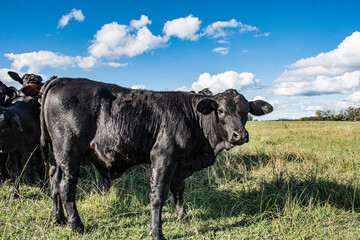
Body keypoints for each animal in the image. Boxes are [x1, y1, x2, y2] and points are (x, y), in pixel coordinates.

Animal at [40, 78, 272, 239]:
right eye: (221, 110)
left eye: (246, 111)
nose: (240, 135)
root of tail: (64, 79)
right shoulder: (163, 157)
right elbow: (158, 196)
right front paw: (157, 232)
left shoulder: (179, 162)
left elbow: (178, 189)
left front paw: (182, 216)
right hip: (69, 152)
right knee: (66, 186)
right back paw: (76, 225)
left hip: (58, 157)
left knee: (54, 180)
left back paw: (58, 219)